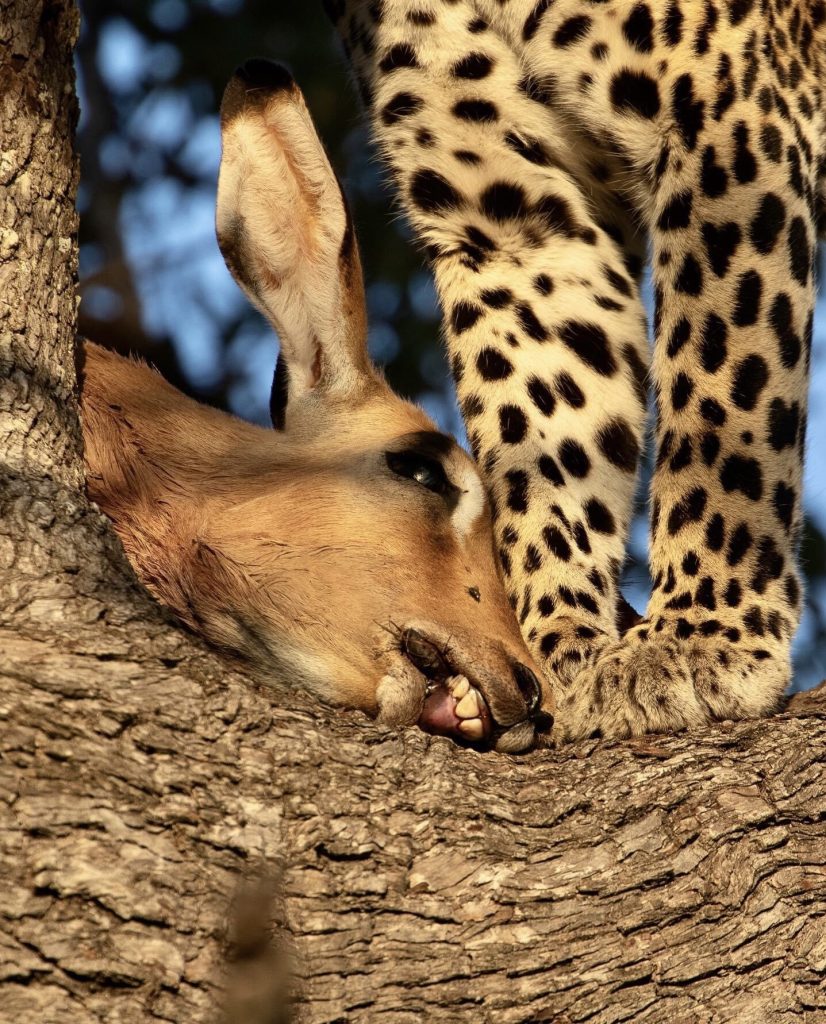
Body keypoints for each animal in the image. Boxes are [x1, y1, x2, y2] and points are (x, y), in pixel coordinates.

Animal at [325, 0, 826, 737]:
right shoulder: (508, 219)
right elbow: (542, 420)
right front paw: (560, 654)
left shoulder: (729, 104)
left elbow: (721, 381)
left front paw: (700, 636)